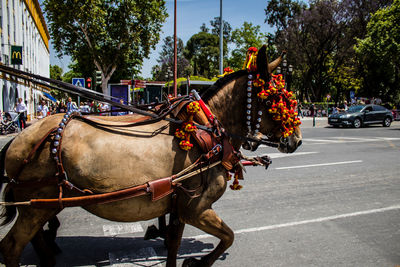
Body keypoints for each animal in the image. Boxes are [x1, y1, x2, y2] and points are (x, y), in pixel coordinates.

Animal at [0, 46, 300, 267]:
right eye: (276, 99)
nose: (296, 140)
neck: (205, 130)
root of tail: (20, 137)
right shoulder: (196, 209)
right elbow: (228, 236)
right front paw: (198, 262)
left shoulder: (179, 207)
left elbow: (175, 245)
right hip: (36, 205)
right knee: (11, 247)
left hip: (41, 206)